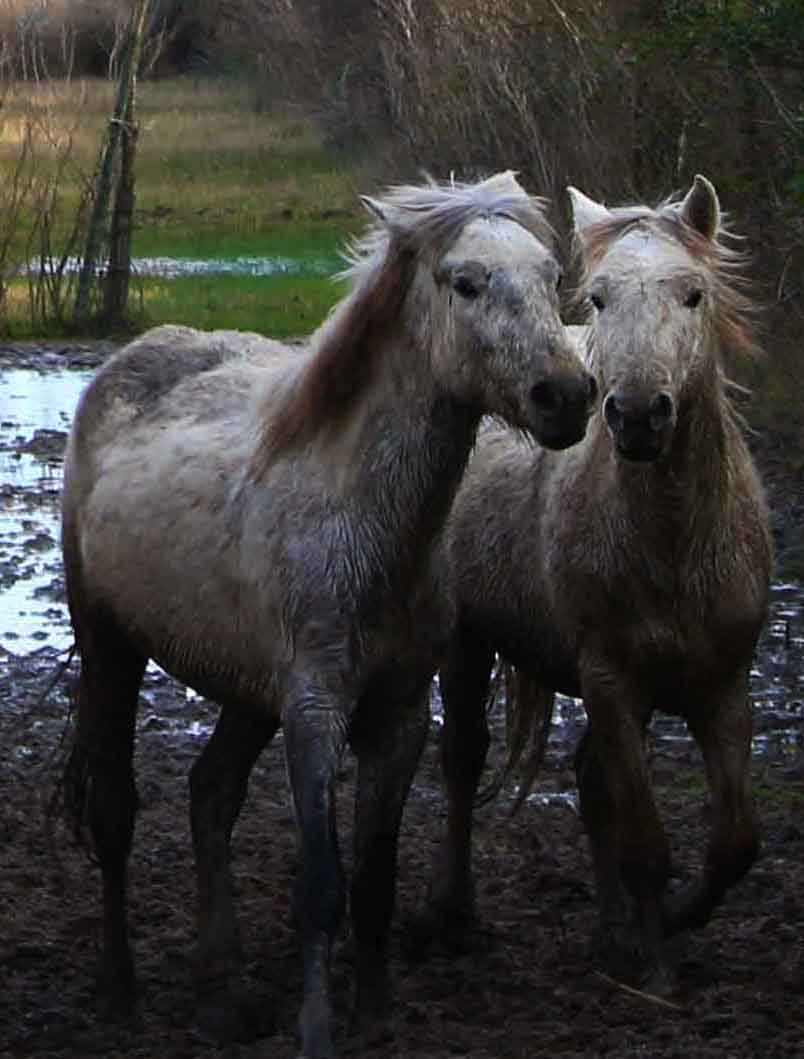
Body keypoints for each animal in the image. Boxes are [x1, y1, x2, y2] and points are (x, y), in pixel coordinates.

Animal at [58, 171, 596, 1058]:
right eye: (464, 282)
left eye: (553, 278)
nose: (568, 395)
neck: (361, 519)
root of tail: (125, 365)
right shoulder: (315, 707)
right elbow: (321, 881)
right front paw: (317, 1029)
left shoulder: (400, 712)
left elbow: (374, 878)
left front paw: (376, 1017)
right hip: (107, 642)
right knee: (114, 811)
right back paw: (118, 988)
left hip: (247, 688)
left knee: (210, 793)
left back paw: (224, 992)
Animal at [423, 175, 773, 989]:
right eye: (601, 299)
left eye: (693, 294)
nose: (638, 413)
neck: (675, 542)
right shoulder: (612, 680)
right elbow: (645, 841)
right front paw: (656, 963)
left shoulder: (723, 686)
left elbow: (734, 842)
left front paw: (667, 923)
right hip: (467, 644)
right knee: (463, 762)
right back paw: (453, 914)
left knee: (590, 783)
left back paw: (611, 926)